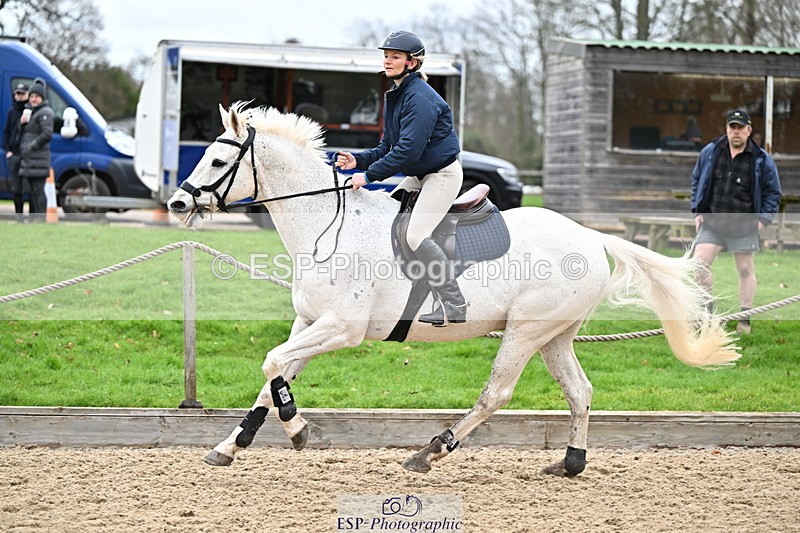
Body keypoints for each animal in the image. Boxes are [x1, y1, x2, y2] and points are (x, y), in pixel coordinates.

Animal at [167, 102, 739, 476]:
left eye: (217, 161)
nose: (177, 203)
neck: (326, 225)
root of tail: (590, 236)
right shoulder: (310, 322)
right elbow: (275, 374)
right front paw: (231, 445)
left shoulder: (341, 328)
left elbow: (271, 365)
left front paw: (298, 428)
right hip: (554, 334)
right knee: (580, 392)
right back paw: (570, 463)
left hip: (525, 331)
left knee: (497, 393)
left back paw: (430, 452)